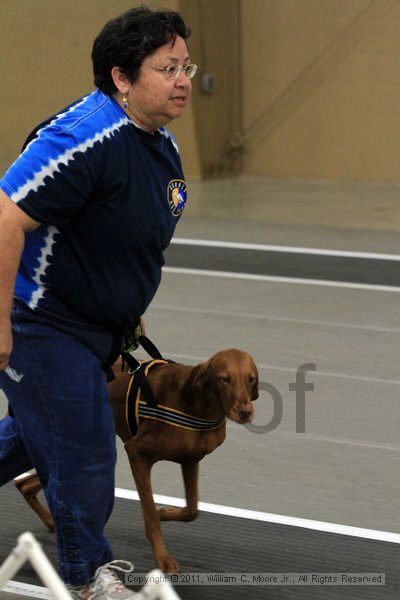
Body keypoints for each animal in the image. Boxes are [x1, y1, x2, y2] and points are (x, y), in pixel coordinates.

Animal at [14, 350, 258, 576]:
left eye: (251, 379)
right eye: (225, 378)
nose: (245, 412)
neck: (198, 407)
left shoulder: (190, 460)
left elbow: (191, 510)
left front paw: (165, 512)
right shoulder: (137, 454)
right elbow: (150, 516)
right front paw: (163, 558)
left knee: (26, 484)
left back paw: (52, 522)